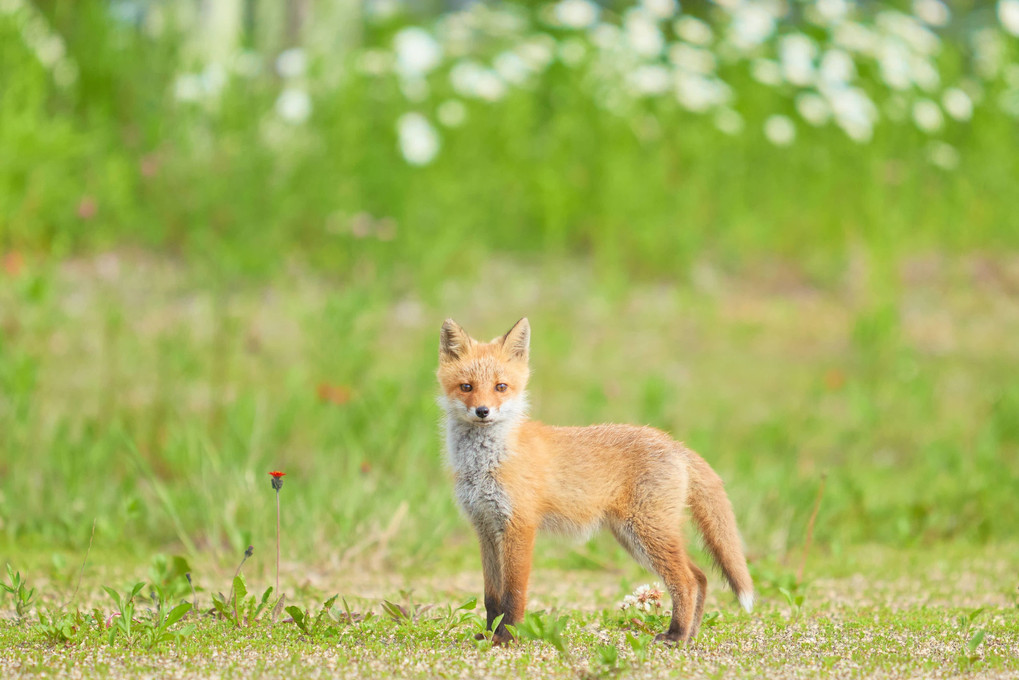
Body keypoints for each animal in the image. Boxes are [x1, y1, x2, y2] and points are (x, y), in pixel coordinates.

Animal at [434, 316, 754, 648]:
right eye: (467, 387)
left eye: (501, 387)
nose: (482, 411)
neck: (486, 463)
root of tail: (672, 442)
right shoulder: (485, 527)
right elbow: (491, 597)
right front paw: (489, 634)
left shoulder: (519, 526)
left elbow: (513, 595)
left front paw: (508, 638)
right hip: (634, 538)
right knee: (701, 577)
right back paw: (689, 635)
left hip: (646, 533)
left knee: (687, 581)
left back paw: (676, 635)